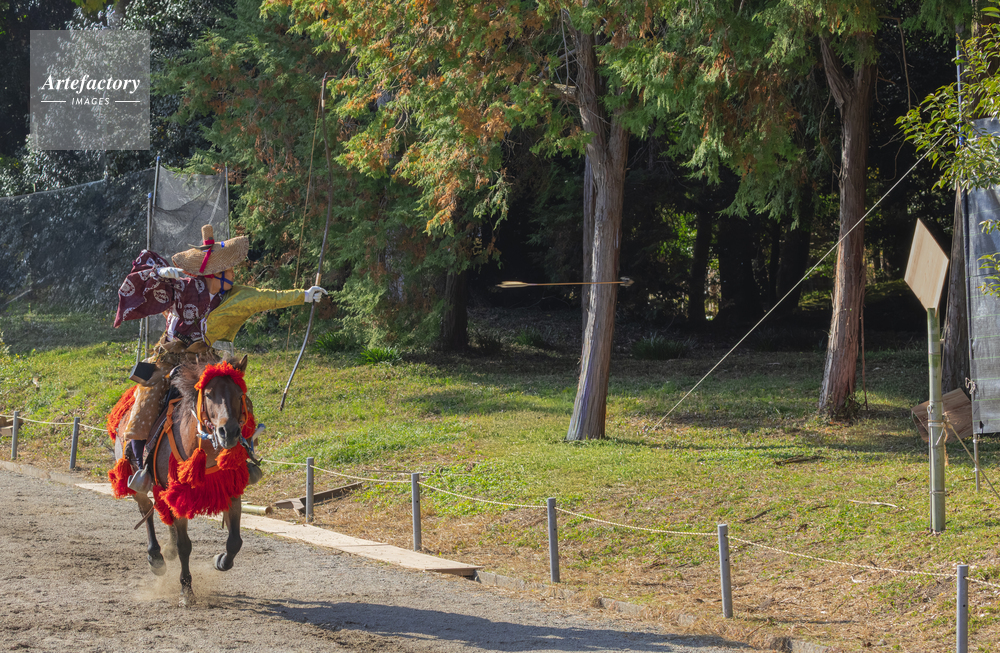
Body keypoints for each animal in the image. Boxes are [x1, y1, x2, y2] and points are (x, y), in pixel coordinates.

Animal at [109, 353, 255, 607]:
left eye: (239, 394)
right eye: (209, 394)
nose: (228, 432)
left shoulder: (230, 490)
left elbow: (235, 541)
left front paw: (221, 560)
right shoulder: (179, 493)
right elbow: (185, 545)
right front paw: (186, 590)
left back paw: (166, 550)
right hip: (135, 476)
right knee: (146, 510)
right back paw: (156, 557)